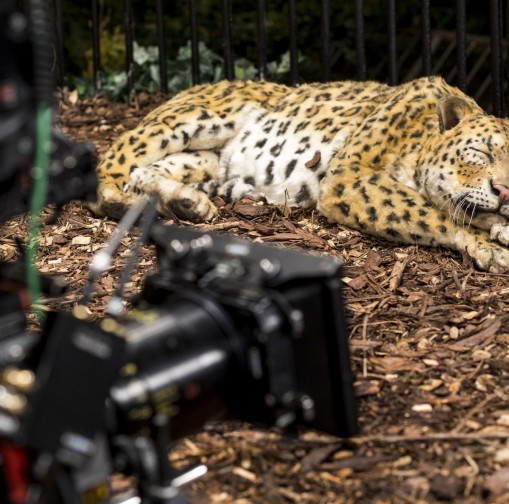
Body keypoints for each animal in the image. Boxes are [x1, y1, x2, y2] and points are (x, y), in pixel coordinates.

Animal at [93, 76, 509, 273]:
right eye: (482, 152)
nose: (504, 191)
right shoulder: (349, 176)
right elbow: (434, 213)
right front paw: (490, 245)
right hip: (192, 118)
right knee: (112, 168)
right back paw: (129, 206)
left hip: (205, 160)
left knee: (144, 171)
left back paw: (186, 203)